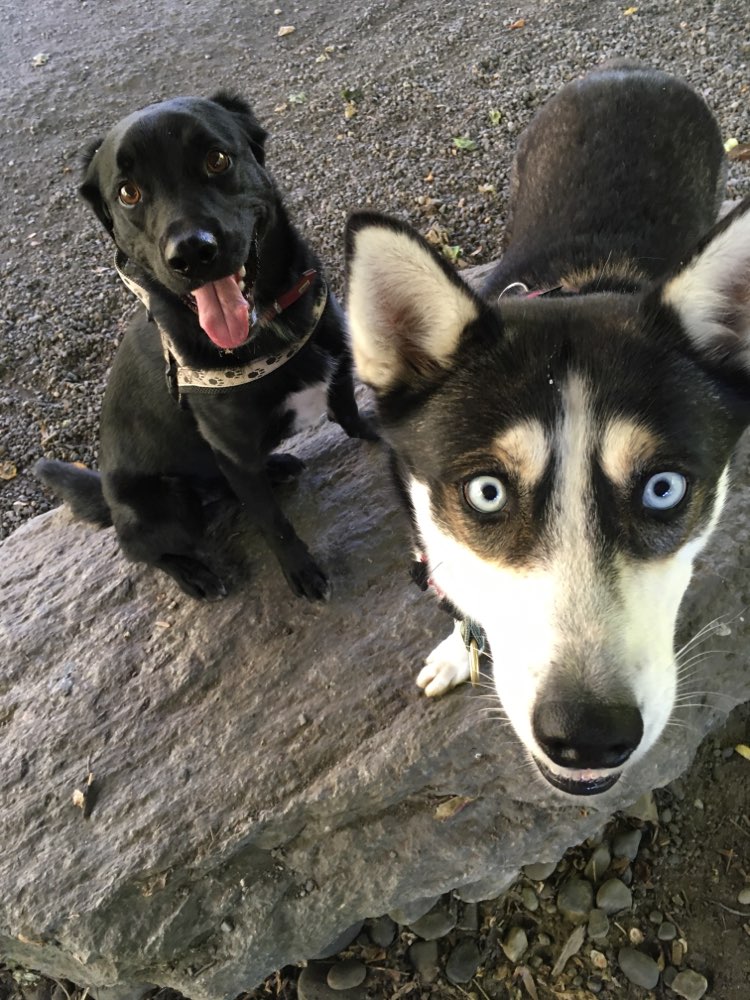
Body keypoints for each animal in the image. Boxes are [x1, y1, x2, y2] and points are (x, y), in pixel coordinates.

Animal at [35, 92, 376, 600]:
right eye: (128, 192)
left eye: (217, 159)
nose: (191, 253)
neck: (270, 328)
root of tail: (111, 502)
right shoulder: (231, 449)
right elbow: (272, 522)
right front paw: (301, 571)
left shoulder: (335, 370)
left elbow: (351, 413)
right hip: (169, 507)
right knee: (140, 550)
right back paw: (193, 575)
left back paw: (276, 467)